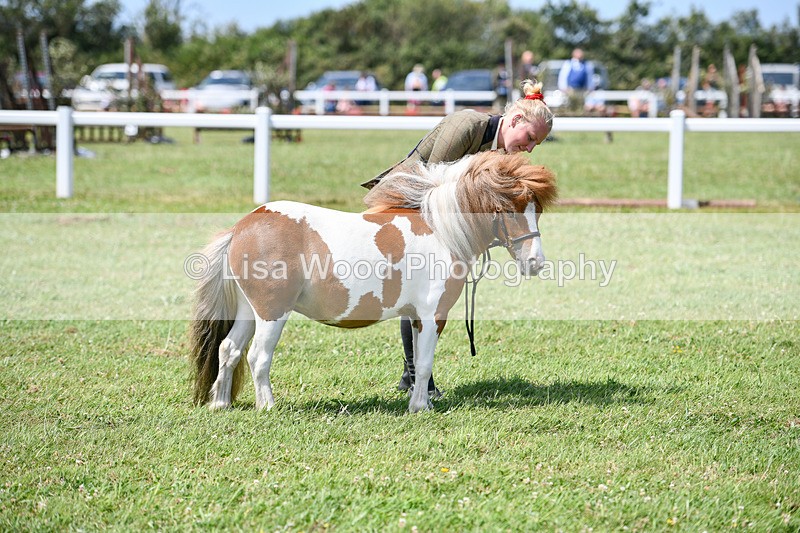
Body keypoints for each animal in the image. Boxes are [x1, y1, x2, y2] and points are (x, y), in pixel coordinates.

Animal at [189, 151, 557, 413]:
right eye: (507, 209)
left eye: (536, 210)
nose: (536, 262)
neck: (441, 231)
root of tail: (242, 227)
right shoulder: (433, 315)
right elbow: (425, 363)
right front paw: (420, 407)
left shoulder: (416, 317)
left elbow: (417, 362)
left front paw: (422, 401)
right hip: (272, 313)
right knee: (258, 358)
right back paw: (268, 406)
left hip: (248, 312)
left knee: (229, 350)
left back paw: (220, 403)